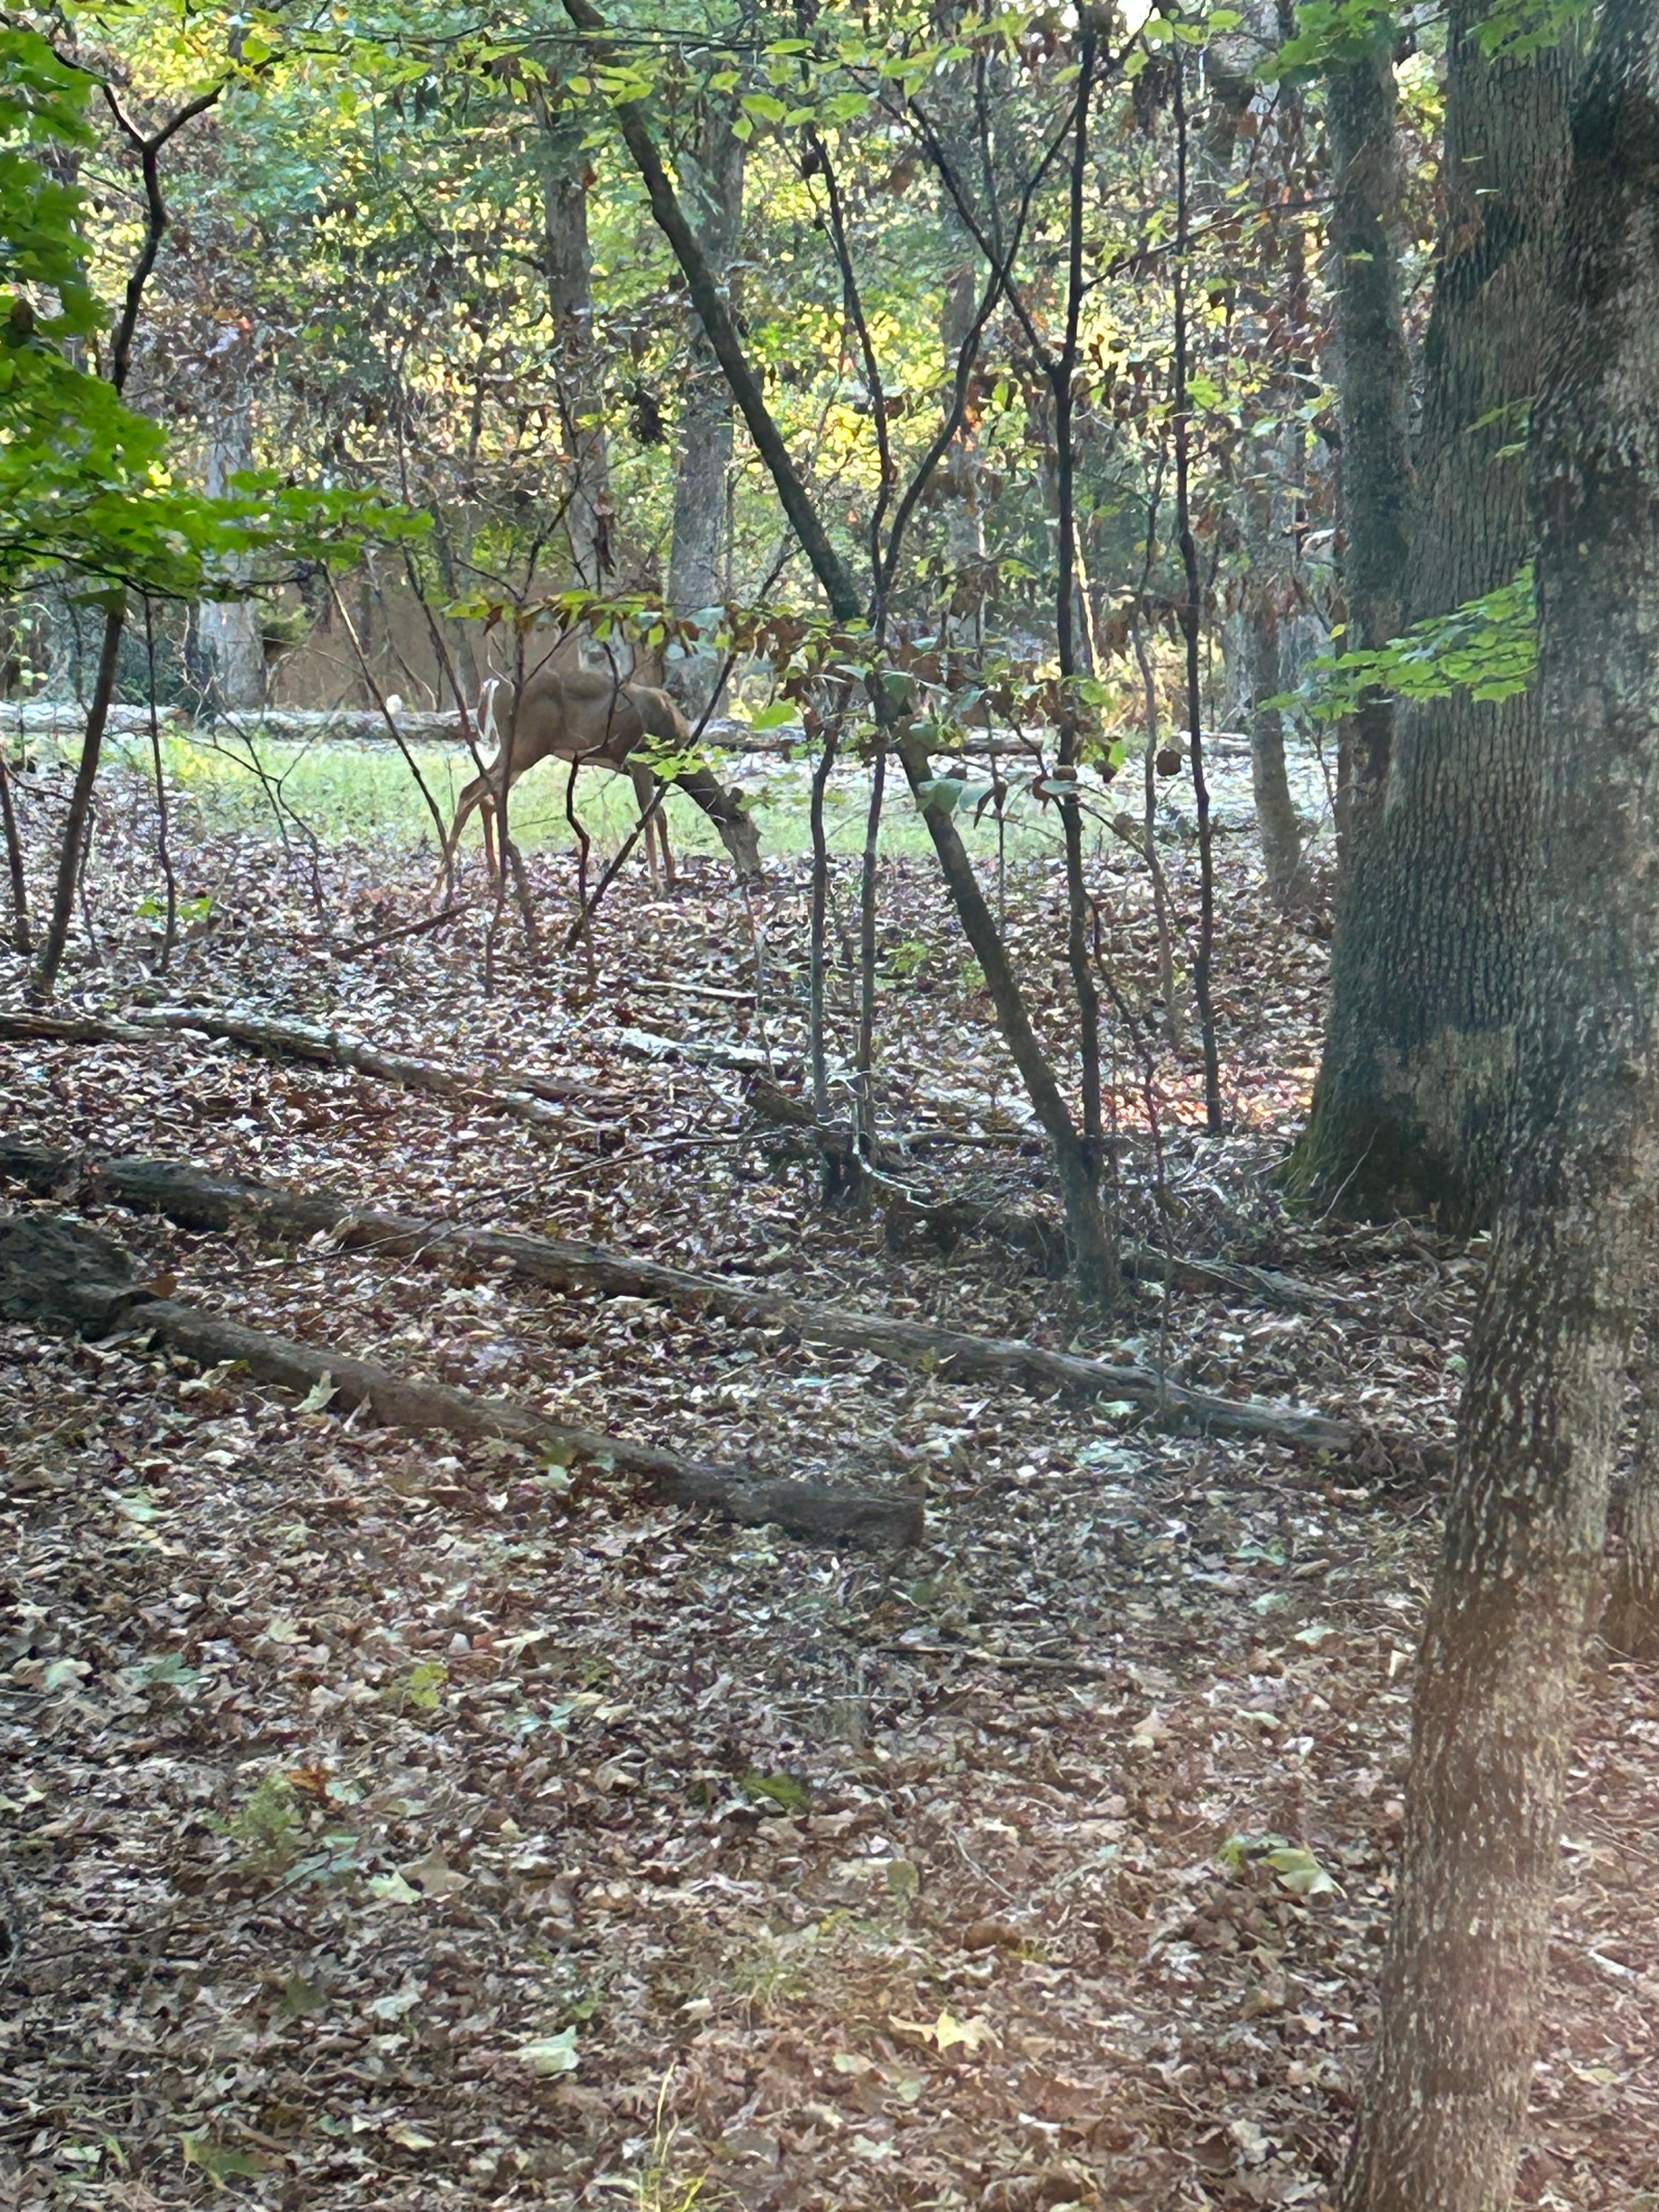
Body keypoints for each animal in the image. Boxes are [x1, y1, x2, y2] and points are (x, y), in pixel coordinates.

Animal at [442, 659, 762, 890]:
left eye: (759, 834)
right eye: (744, 831)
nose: (756, 871)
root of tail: (495, 685)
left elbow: (661, 818)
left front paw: (672, 875)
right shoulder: (638, 761)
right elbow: (649, 819)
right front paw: (657, 883)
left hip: (518, 751)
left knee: (486, 796)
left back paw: (493, 874)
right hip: (526, 744)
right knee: (472, 792)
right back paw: (448, 876)